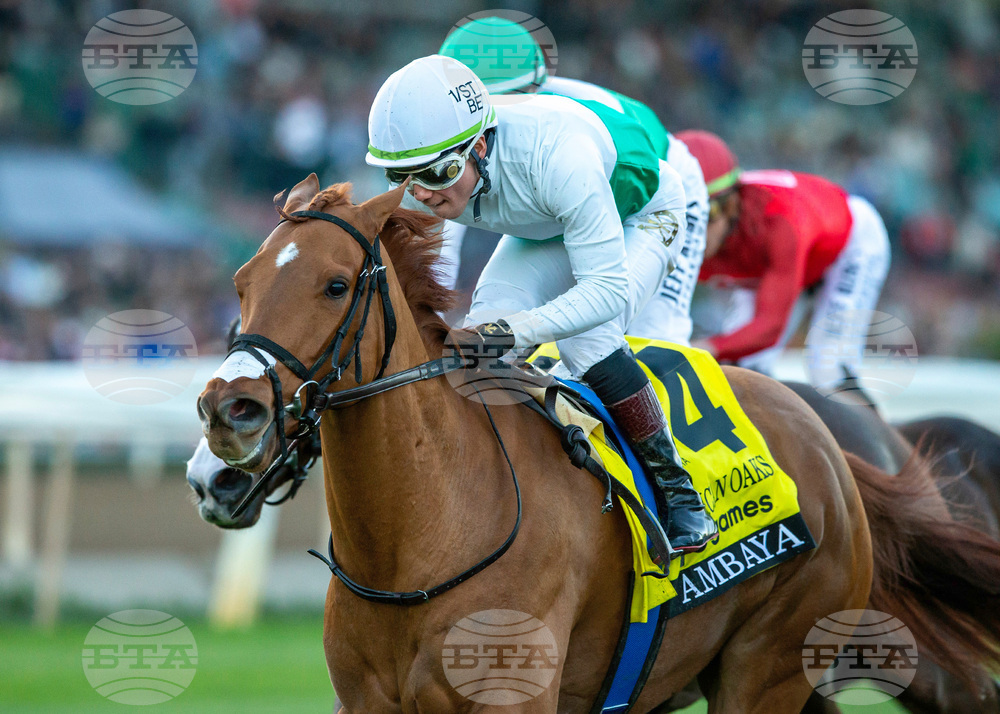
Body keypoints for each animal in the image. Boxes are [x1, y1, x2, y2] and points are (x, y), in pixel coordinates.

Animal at [196, 174, 1000, 712]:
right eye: (240, 283)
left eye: (335, 285)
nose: (227, 412)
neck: (420, 540)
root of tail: (833, 443)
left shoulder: (512, 697)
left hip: (782, 661)